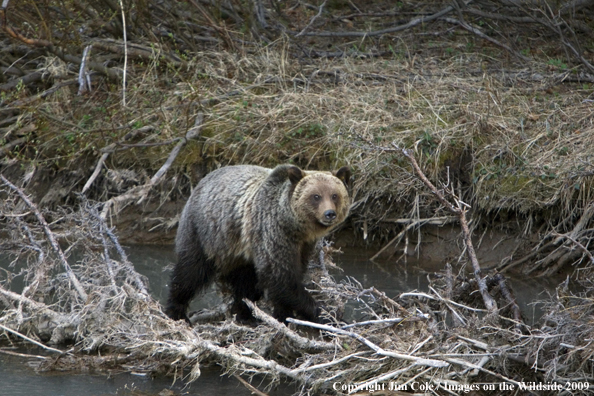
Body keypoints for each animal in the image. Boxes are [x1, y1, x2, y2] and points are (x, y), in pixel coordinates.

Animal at [164, 164, 350, 324]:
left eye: (335, 195)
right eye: (316, 196)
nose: (329, 213)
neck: (293, 226)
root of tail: (201, 182)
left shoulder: (303, 245)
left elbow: (291, 274)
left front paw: (284, 315)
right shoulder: (272, 232)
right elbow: (280, 277)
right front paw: (322, 313)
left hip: (238, 250)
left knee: (245, 283)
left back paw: (245, 315)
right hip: (204, 232)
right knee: (190, 272)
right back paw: (177, 312)